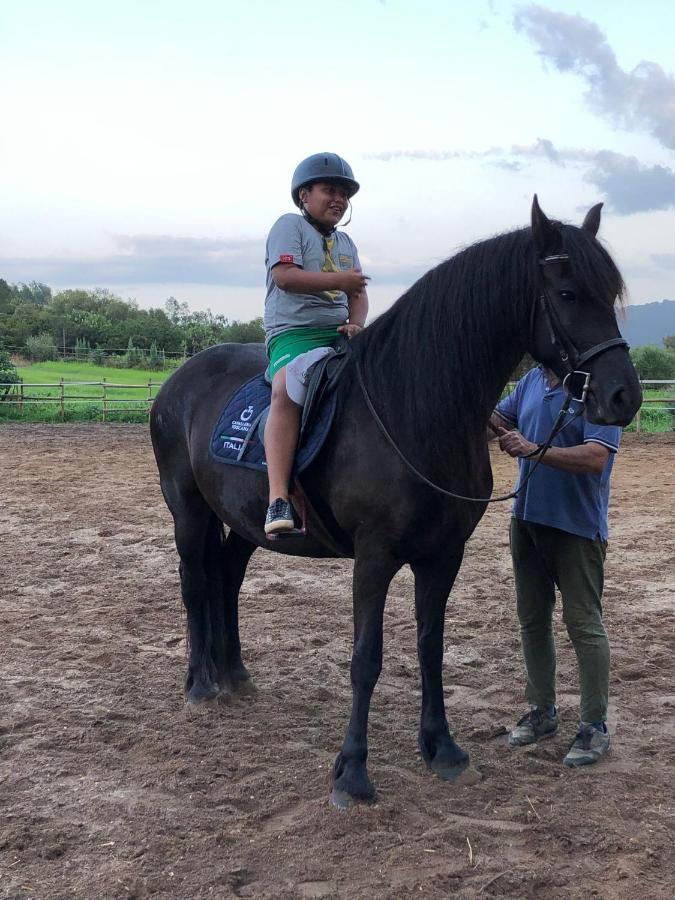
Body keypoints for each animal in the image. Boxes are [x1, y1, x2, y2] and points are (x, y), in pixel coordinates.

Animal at [151, 200, 640, 804]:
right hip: (189, 511)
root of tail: (179, 380)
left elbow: (431, 646)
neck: (412, 407)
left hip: (245, 523)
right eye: (569, 293)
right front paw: (353, 773)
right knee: (196, 581)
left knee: (225, 579)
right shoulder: (375, 556)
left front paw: (443, 750)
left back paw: (234, 675)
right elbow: (367, 657)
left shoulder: (444, 554)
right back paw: (200, 684)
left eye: (611, 293)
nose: (624, 396)